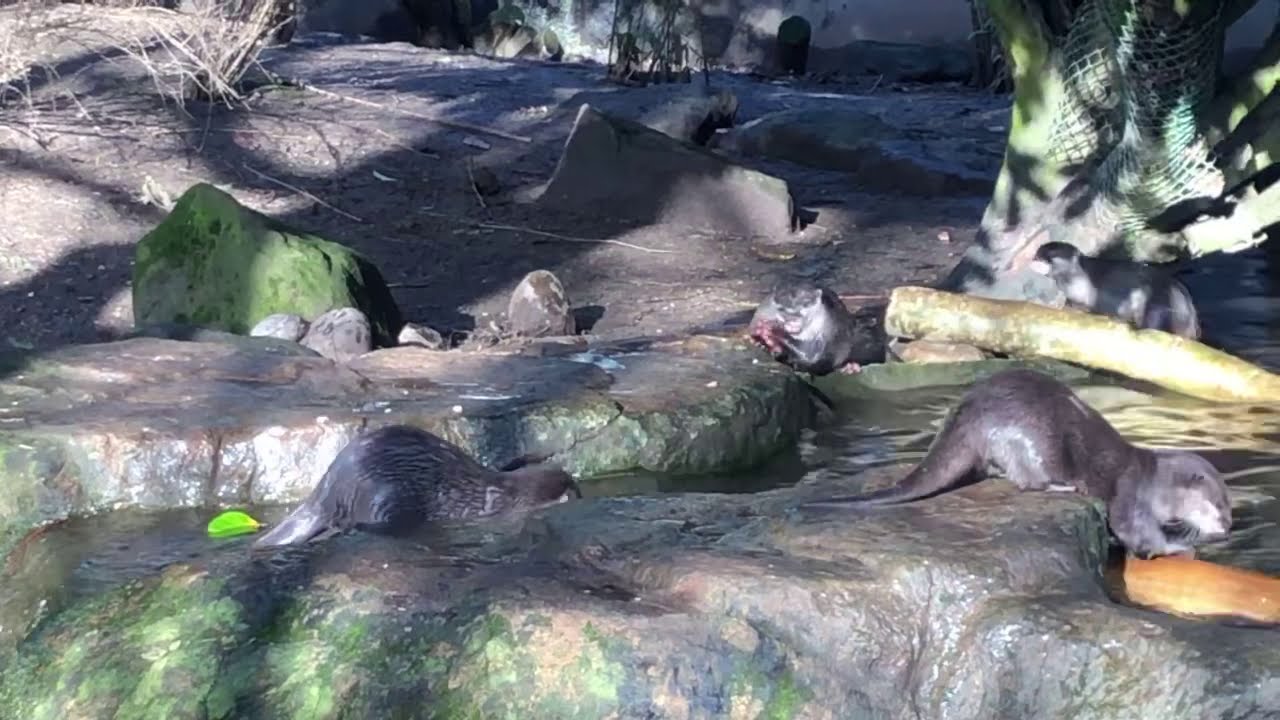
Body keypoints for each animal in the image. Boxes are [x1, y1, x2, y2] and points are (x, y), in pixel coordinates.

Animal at [748, 283, 882, 376]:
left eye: (805, 304)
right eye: (782, 308)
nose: (792, 318)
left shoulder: (828, 330)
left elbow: (811, 355)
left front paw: (774, 332)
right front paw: (763, 341)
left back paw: (851, 367)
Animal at [802, 369, 1233, 558]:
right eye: (1219, 506)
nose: (1228, 526)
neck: (1152, 483)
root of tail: (968, 412)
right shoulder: (1129, 496)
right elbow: (1136, 534)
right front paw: (1179, 546)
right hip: (1029, 440)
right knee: (1028, 480)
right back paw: (1061, 486)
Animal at [1029, 242, 1202, 340]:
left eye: (1049, 254)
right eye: (1036, 255)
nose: (1035, 258)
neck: (1080, 278)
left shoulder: (1103, 290)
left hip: (1159, 298)